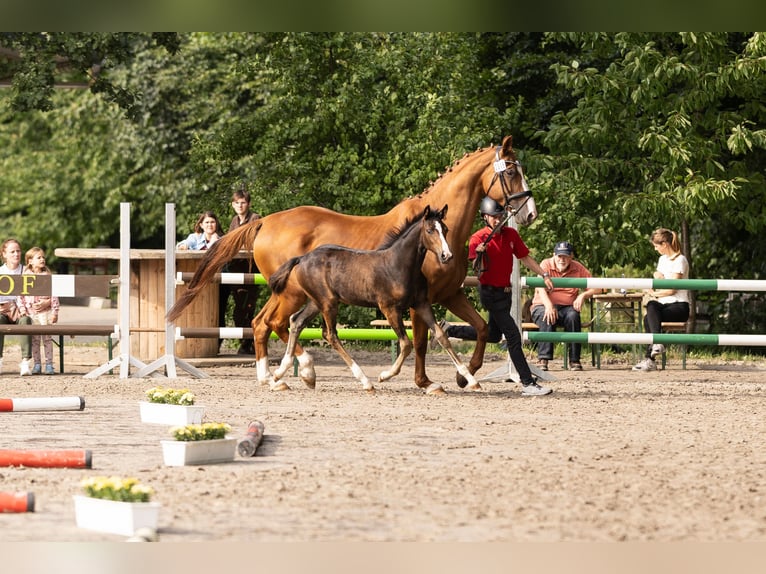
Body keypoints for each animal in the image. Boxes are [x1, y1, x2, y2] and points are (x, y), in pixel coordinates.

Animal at [268, 205, 478, 393]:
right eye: (429, 230)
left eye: (445, 229)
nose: (446, 255)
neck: (398, 265)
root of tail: (302, 258)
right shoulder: (388, 307)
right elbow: (406, 344)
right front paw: (384, 376)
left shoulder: (421, 303)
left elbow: (441, 336)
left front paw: (471, 379)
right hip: (328, 303)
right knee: (331, 335)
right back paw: (365, 381)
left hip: (316, 302)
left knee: (296, 321)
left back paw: (285, 375)